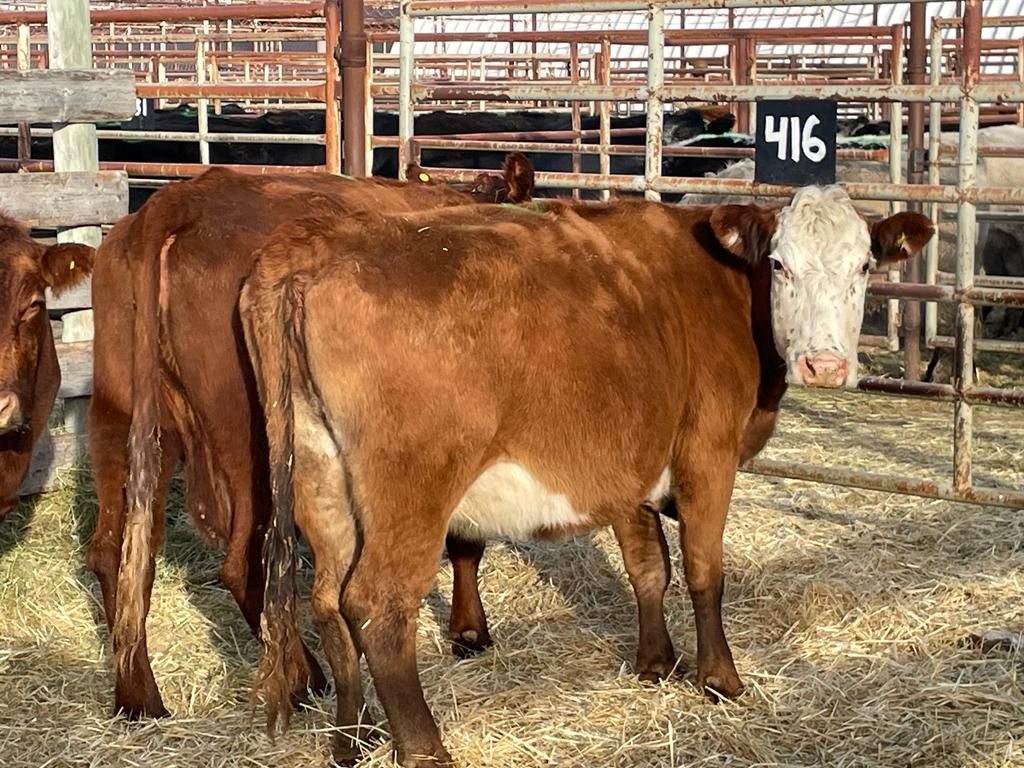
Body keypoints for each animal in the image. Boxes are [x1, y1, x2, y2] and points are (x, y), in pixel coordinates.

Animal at [87, 158, 534, 720]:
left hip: (121, 417)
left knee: (116, 552)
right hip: (253, 440)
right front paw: (470, 631)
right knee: (242, 565)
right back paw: (305, 677)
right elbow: (466, 539)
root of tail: (183, 200)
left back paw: (139, 696)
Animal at [242, 192, 934, 766]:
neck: (725, 294)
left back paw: (351, 738)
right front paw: (720, 679)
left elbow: (648, 567)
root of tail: (307, 252)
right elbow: (704, 569)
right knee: (376, 606)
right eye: (781, 265)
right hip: (410, 493)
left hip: (322, 484)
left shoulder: (626, 462)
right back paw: (425, 749)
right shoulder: (706, 453)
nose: (825, 364)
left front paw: (656, 663)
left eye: (864, 266)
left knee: (328, 601)